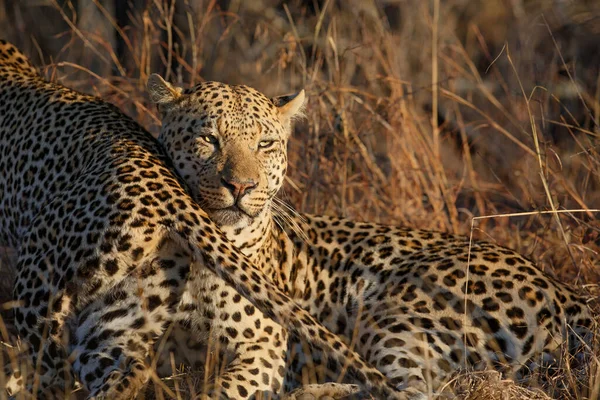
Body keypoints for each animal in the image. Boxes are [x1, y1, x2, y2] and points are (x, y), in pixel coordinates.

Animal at [149, 72, 596, 396]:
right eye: (209, 139)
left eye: (265, 144)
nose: (241, 186)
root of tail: (569, 294)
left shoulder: (263, 350)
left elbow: (220, 391)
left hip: (400, 311)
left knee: (414, 391)